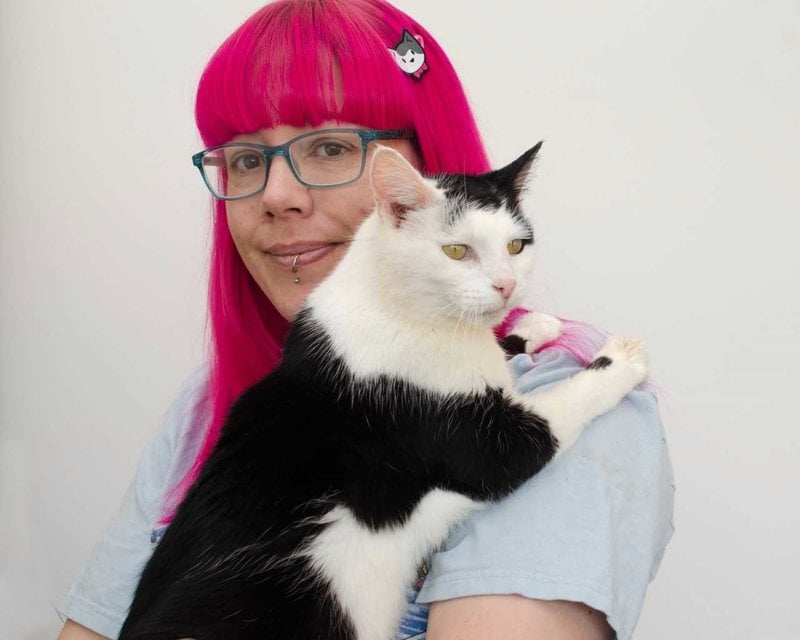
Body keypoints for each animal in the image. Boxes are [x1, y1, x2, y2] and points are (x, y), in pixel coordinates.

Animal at [119, 142, 648, 640]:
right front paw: (621, 359)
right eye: (457, 251)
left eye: (517, 246)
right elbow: (555, 413)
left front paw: (531, 328)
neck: (404, 311)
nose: (506, 286)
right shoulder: (484, 445)